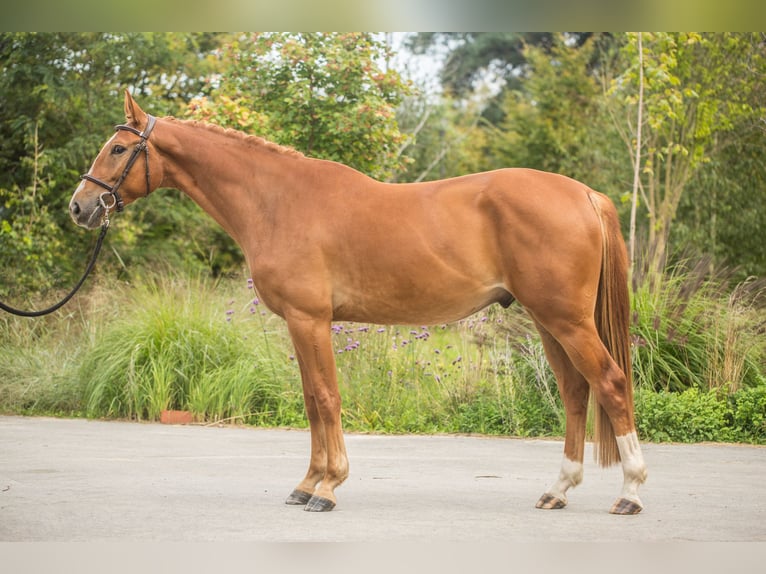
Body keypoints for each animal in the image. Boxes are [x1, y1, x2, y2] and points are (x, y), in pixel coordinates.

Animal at [70, 91, 648, 516]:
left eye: (118, 149)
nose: (80, 206)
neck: (277, 200)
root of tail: (584, 194)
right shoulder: (300, 325)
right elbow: (310, 401)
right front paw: (305, 485)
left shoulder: (310, 320)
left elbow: (326, 398)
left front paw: (327, 489)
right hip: (549, 322)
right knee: (575, 392)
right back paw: (558, 490)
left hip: (566, 320)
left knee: (611, 383)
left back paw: (631, 492)